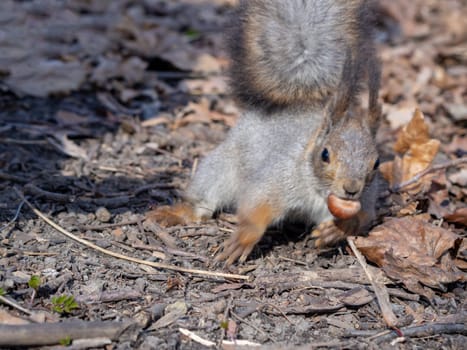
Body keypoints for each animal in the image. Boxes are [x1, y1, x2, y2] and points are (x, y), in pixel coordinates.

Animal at [150, 0, 384, 266]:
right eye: (325, 154)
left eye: (376, 163)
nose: (351, 188)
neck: (320, 192)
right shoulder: (278, 178)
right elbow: (257, 204)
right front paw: (244, 238)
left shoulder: (367, 200)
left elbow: (364, 219)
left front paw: (335, 230)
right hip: (220, 167)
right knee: (203, 200)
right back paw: (178, 213)